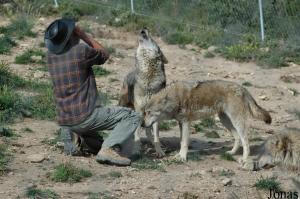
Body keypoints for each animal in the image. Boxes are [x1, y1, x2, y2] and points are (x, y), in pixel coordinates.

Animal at [118, 27, 169, 157]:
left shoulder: (155, 113)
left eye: (153, 39)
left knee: (148, 132)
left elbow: (156, 135)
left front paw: (159, 151)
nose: (144, 27)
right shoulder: (139, 111)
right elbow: (136, 133)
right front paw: (136, 149)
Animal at [143, 79, 272, 165]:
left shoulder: (186, 122)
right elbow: (181, 141)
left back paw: (244, 159)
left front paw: (182, 157)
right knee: (237, 138)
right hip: (225, 121)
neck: (175, 98)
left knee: (246, 141)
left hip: (237, 122)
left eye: (149, 112)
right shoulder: (181, 123)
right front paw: (178, 156)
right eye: (144, 112)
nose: (142, 124)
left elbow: (184, 142)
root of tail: (242, 88)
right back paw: (231, 152)